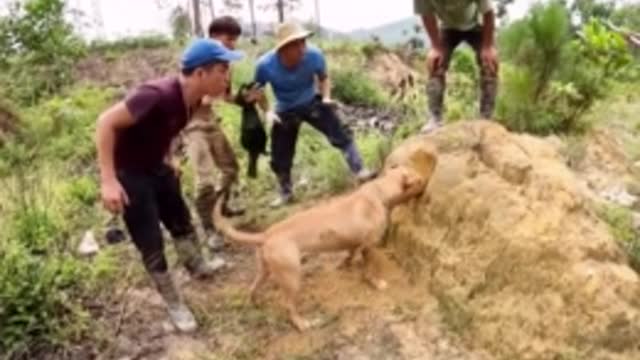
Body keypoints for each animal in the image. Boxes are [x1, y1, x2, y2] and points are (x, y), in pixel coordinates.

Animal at [214, 165, 430, 330]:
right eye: (419, 180)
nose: (427, 180)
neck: (378, 192)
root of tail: (266, 234)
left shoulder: (355, 243)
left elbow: (350, 253)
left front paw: (344, 264)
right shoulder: (369, 246)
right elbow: (369, 270)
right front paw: (376, 282)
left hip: (265, 270)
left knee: (252, 288)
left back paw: (255, 303)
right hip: (292, 277)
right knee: (288, 305)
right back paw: (301, 324)